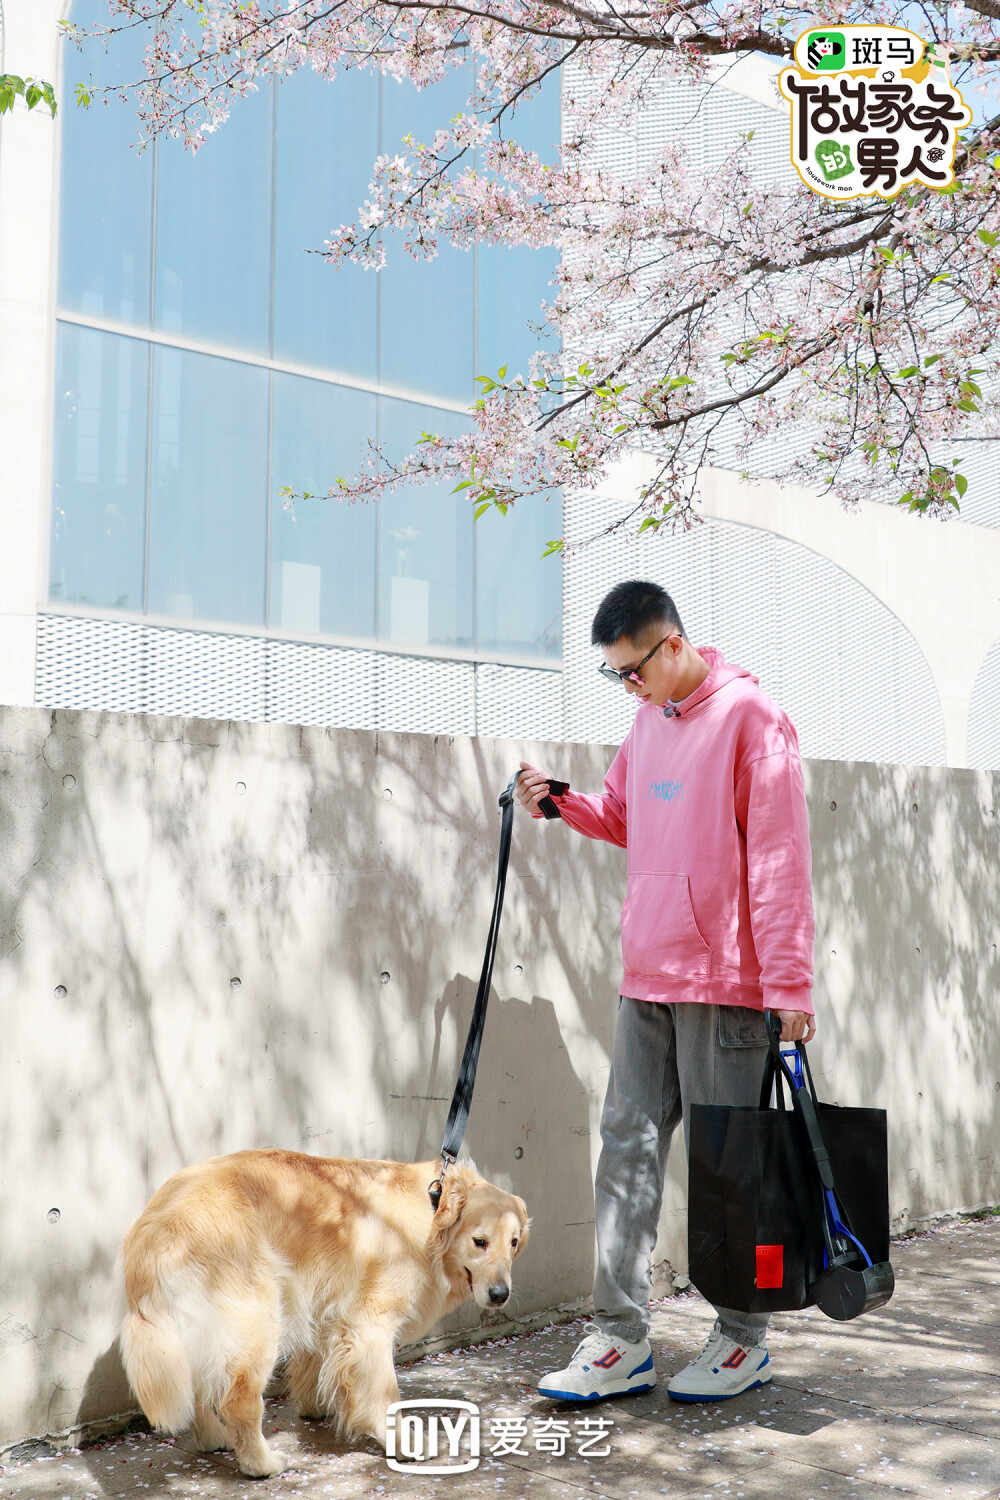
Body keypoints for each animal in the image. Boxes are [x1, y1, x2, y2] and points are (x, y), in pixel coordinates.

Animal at [119, 1152, 530, 1470]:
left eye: (513, 1243)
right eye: (479, 1242)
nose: (500, 1294)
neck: (431, 1206)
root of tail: (154, 1227)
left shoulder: (325, 1303)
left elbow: (316, 1360)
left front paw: (316, 1405)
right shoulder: (368, 1322)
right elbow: (384, 1393)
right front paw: (403, 1441)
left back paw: (212, 1437)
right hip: (257, 1316)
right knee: (238, 1401)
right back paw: (261, 1464)